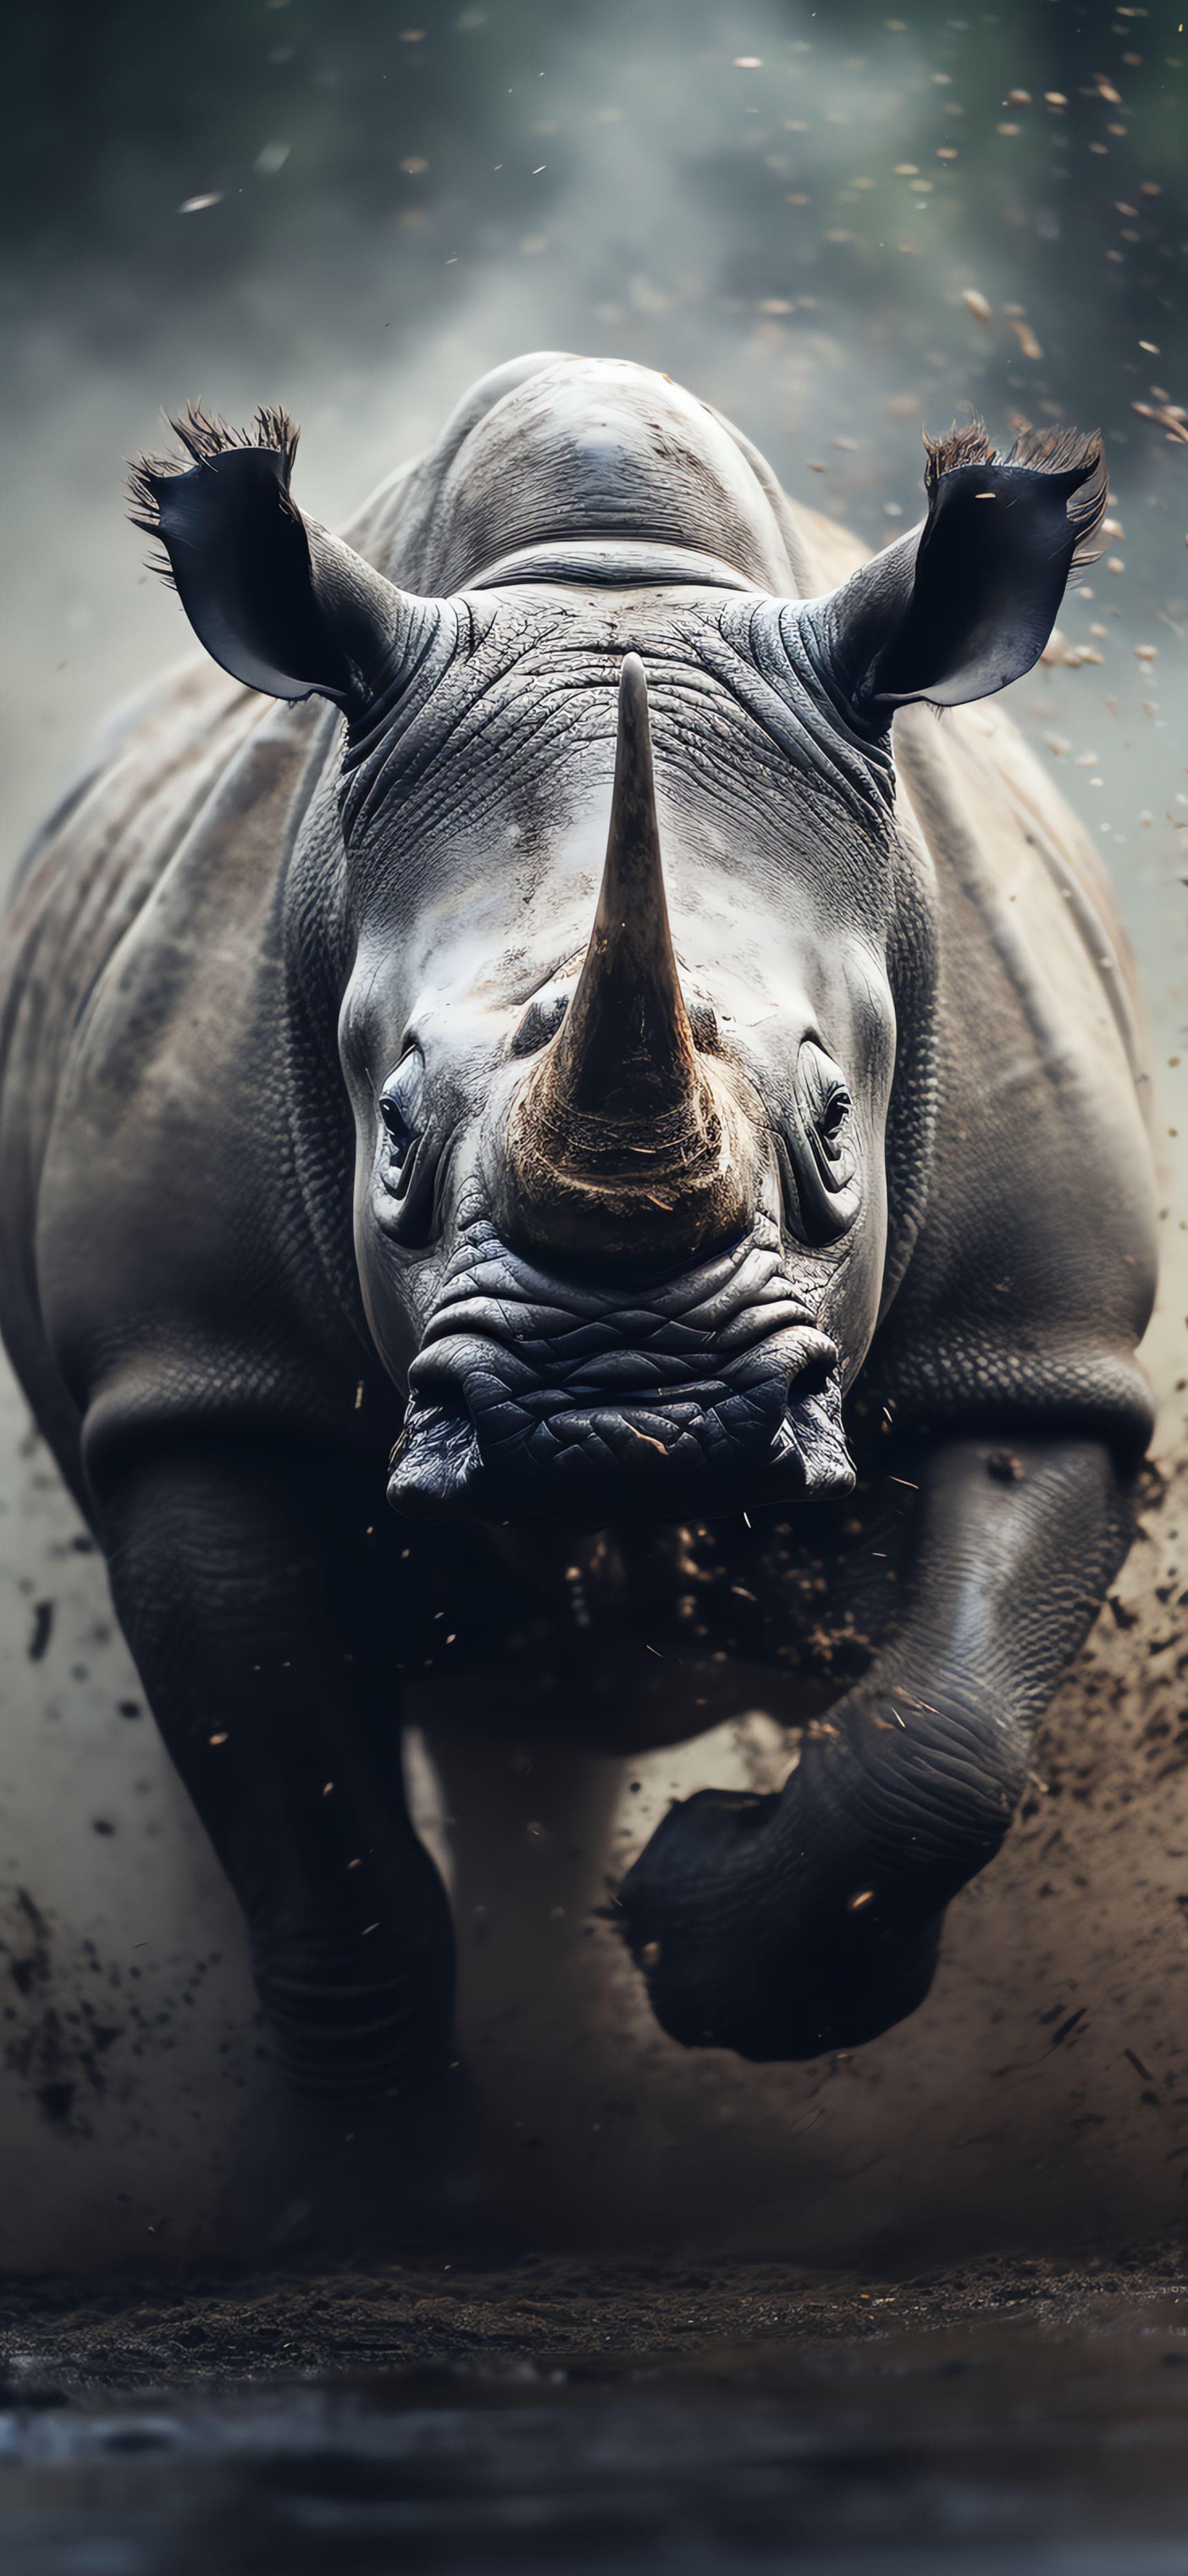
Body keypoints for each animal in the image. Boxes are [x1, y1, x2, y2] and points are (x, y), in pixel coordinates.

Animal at [0, 352, 1156, 2167]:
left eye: (839, 1124)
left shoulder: (1042, 1347)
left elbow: (947, 1735)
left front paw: (691, 1918)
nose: (628, 1420)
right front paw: (381, 2206)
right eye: (393, 1130)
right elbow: (326, 1851)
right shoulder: (197, 1383)